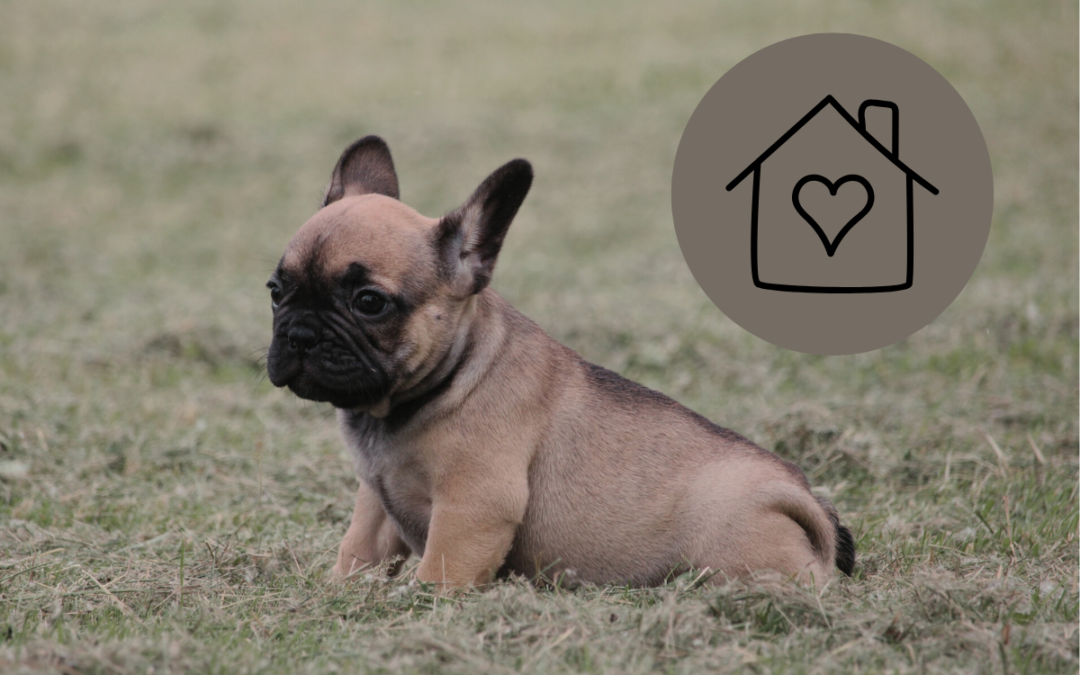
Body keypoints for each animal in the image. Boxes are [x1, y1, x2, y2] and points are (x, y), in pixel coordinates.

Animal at [265, 135, 855, 583]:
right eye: (276, 290)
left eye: (370, 303)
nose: (300, 334)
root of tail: (798, 496)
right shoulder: (375, 500)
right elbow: (357, 549)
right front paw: (341, 591)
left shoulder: (473, 506)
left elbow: (440, 570)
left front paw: (422, 607)